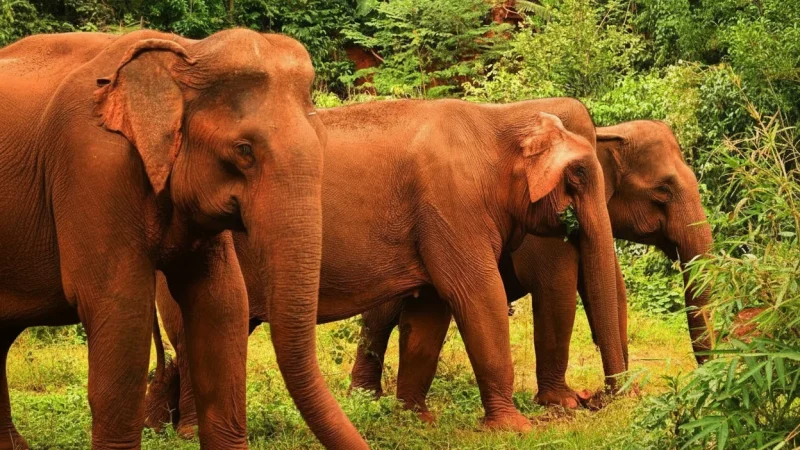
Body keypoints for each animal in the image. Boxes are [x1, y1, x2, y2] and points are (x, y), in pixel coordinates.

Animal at [144, 97, 627, 436]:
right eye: (579, 175)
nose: (596, 399)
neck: (499, 120)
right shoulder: (452, 206)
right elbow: (477, 296)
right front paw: (514, 428)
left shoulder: (436, 221)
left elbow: (429, 314)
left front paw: (417, 420)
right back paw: (188, 432)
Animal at [346, 120, 713, 416]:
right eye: (663, 190)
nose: (598, 397)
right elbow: (558, 288)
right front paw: (564, 402)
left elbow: (612, 293)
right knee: (382, 315)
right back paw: (365, 398)